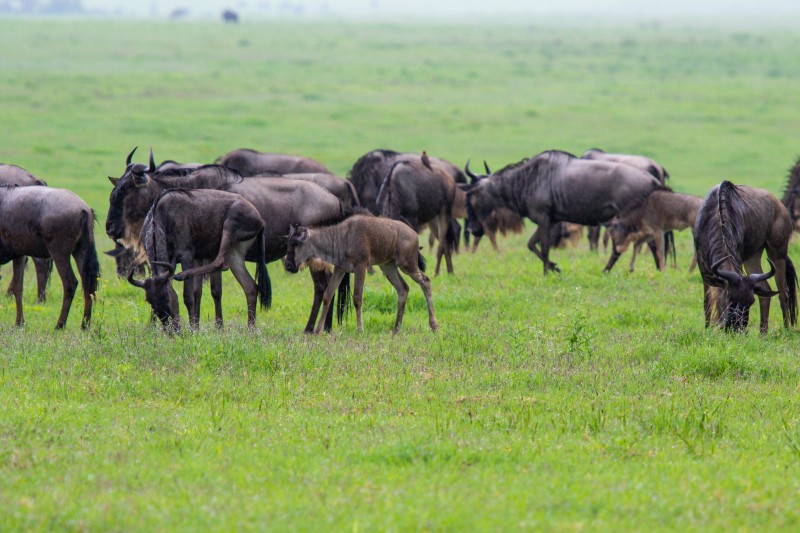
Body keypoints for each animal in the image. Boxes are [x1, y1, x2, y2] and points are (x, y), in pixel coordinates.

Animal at [0, 187, 99, 328]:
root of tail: (83, 209)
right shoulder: (19, 255)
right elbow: (18, 288)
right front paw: (19, 323)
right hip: (81, 251)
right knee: (88, 285)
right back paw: (84, 325)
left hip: (59, 253)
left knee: (70, 283)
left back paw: (60, 325)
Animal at [284, 212, 440, 332]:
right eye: (288, 243)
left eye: (296, 243)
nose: (288, 265)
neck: (341, 238)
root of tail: (414, 234)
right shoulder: (340, 269)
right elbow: (327, 295)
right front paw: (318, 330)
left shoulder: (361, 267)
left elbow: (357, 298)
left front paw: (360, 328)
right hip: (388, 267)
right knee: (403, 289)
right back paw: (397, 328)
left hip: (408, 265)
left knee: (426, 282)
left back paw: (434, 325)